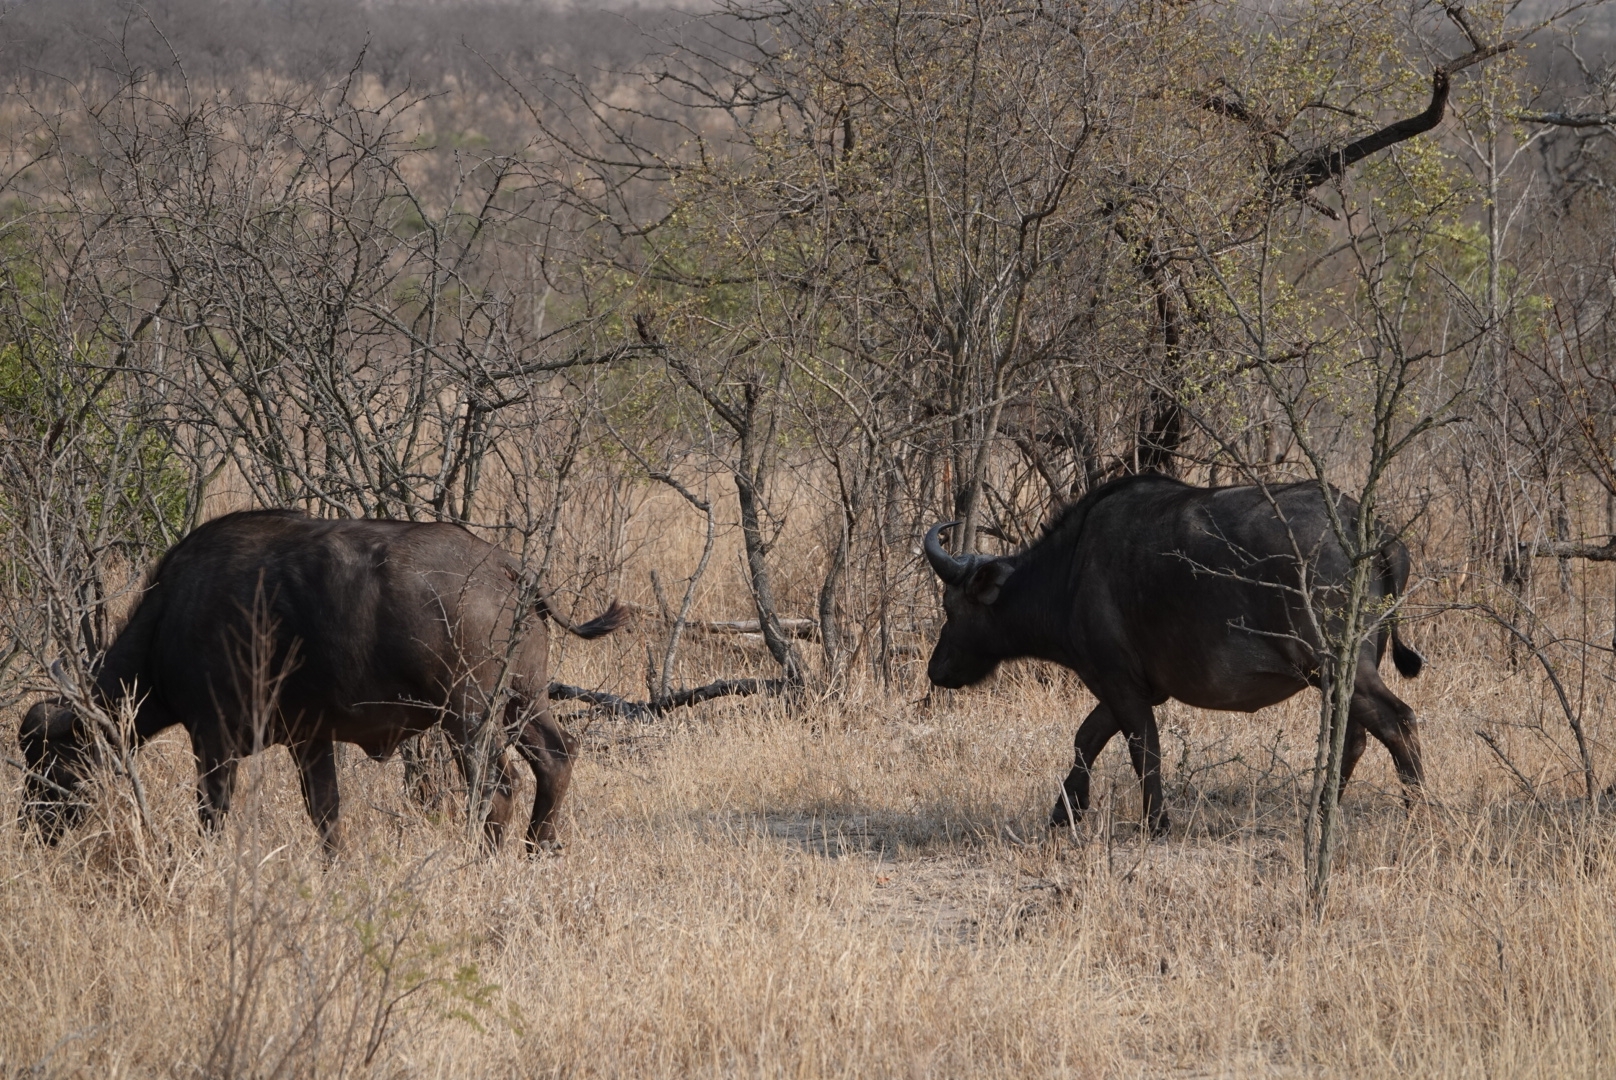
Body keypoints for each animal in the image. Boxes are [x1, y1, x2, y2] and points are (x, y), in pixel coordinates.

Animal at [18, 510, 623, 853]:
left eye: (48, 762)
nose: (29, 830)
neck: (171, 618)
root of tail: (506, 568)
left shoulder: (212, 739)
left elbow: (211, 816)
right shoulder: (309, 740)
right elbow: (325, 815)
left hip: (468, 717)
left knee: (496, 787)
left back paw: (484, 860)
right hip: (524, 700)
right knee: (556, 758)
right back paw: (537, 851)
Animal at [924, 472, 1428, 834]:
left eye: (951, 606)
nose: (935, 670)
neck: (1069, 571)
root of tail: (1371, 529)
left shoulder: (1119, 682)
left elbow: (1142, 747)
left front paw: (1155, 822)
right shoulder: (1136, 688)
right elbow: (1087, 738)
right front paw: (1065, 812)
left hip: (1339, 665)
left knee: (1397, 720)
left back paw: (1419, 813)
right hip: (1342, 674)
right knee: (1356, 734)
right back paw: (1321, 812)